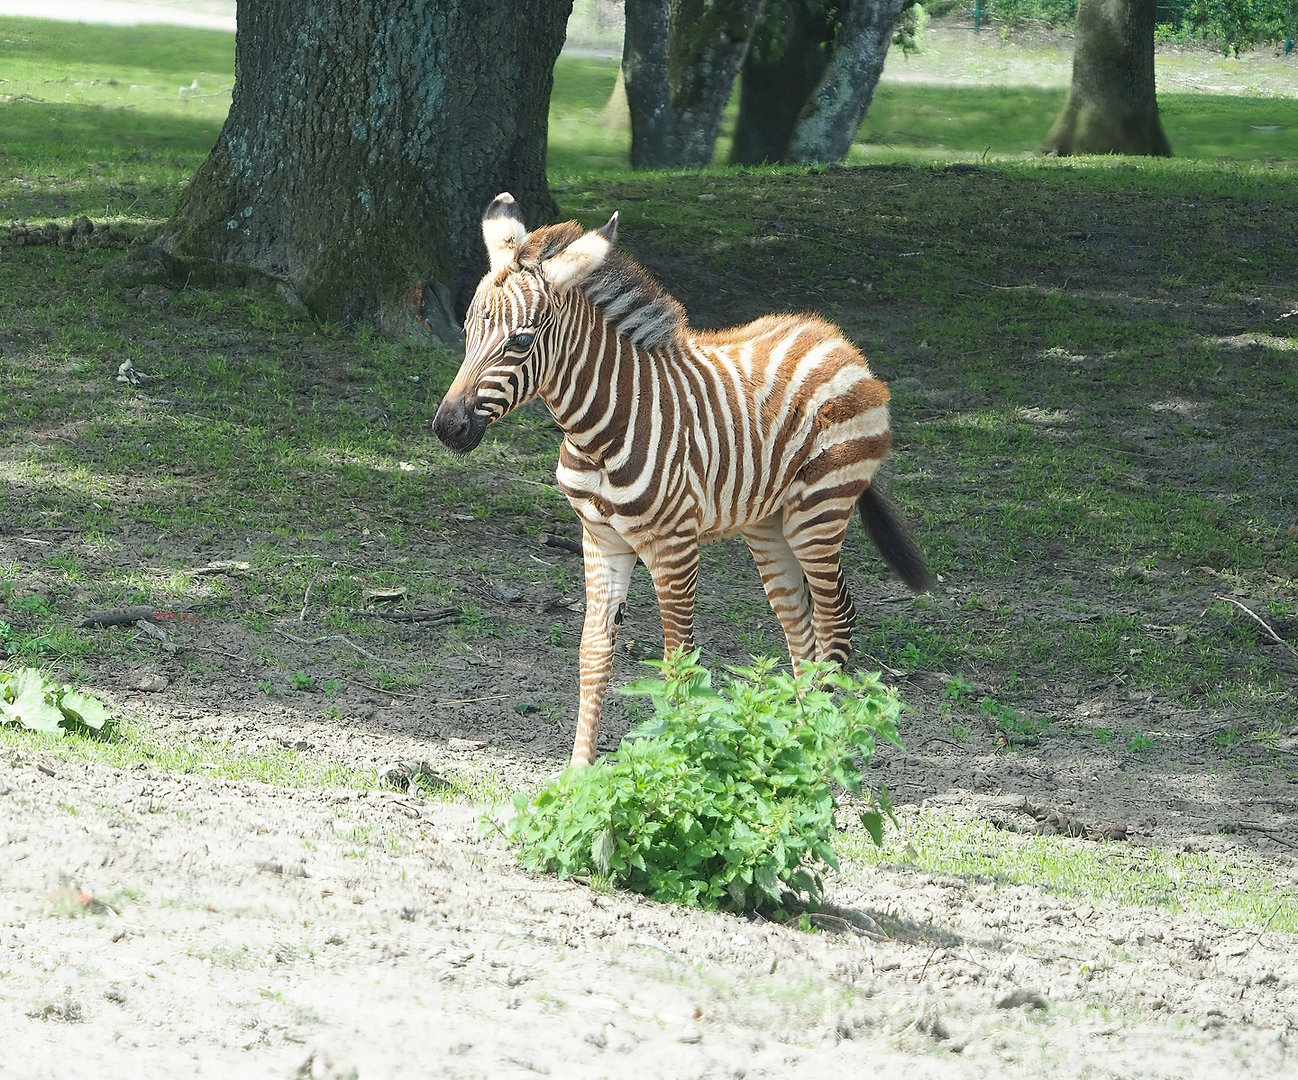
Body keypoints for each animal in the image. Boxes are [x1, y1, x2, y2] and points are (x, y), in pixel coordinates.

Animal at [434, 193, 933, 766]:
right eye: (467, 331)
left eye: (519, 341)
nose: (447, 427)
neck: (598, 432)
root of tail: (837, 339)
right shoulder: (599, 539)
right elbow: (593, 654)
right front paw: (579, 769)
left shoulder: (674, 546)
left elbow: (679, 660)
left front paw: (678, 760)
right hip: (768, 524)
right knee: (800, 626)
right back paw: (791, 735)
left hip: (819, 514)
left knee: (837, 619)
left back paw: (816, 746)